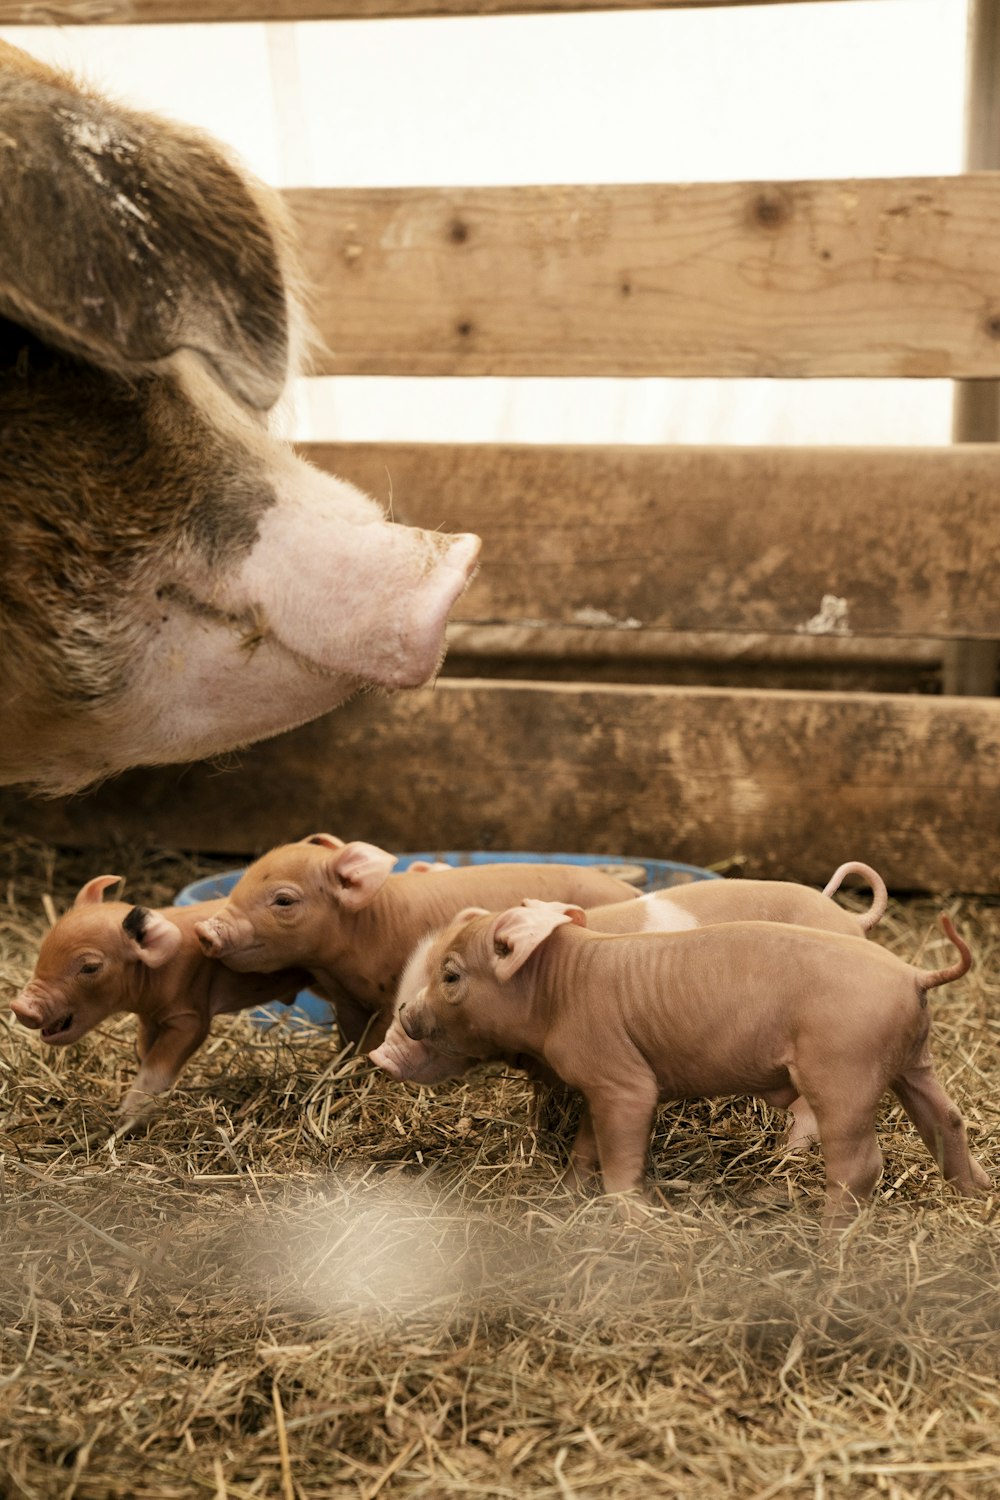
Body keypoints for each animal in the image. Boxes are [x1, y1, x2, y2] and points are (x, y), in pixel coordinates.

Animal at [8, 870, 308, 1128]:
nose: (20, 1007)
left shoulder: (190, 1017)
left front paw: (125, 1119)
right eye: (44, 948)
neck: (155, 974)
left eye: (90, 967)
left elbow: (157, 1065)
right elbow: (145, 1053)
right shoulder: (149, 1019)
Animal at [191, 840, 638, 1050]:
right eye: (244, 879)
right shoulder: (349, 1003)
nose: (205, 930)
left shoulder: (387, 996)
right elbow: (349, 1042)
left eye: (283, 900)